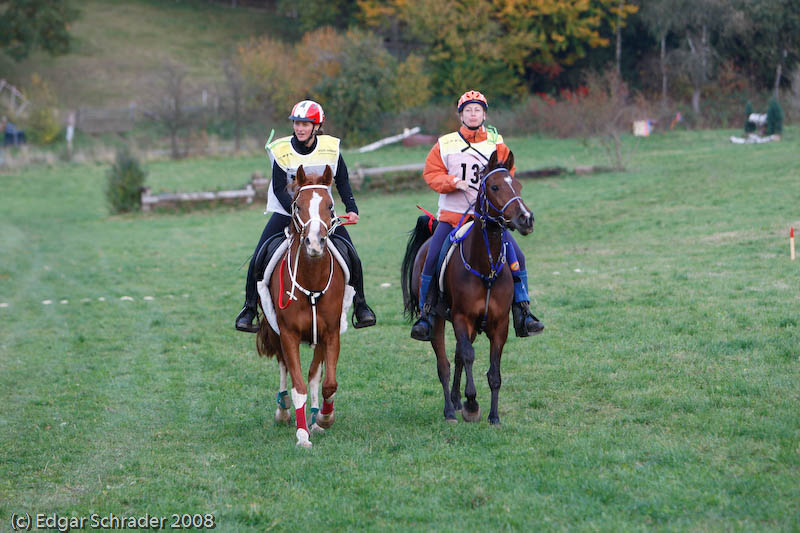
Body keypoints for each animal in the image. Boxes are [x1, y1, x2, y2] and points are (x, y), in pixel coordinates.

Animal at [255, 164, 346, 446]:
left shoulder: (330, 332)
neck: (312, 281)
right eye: (297, 205)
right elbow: (298, 386)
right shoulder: (288, 333)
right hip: (276, 332)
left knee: (315, 375)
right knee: (284, 366)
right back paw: (283, 411)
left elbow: (326, 383)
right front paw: (302, 434)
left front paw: (325, 418)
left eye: (330, 205)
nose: (315, 243)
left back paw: (316, 417)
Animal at [404, 151, 536, 424]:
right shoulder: (461, 317)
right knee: (444, 364)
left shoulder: (499, 323)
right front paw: (472, 404)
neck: (485, 267)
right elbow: (468, 356)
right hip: (437, 320)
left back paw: (456, 401)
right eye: (495, 187)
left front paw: (493, 416)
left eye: (518, 186)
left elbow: (493, 370)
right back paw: (449, 410)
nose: (526, 219)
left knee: (455, 359)